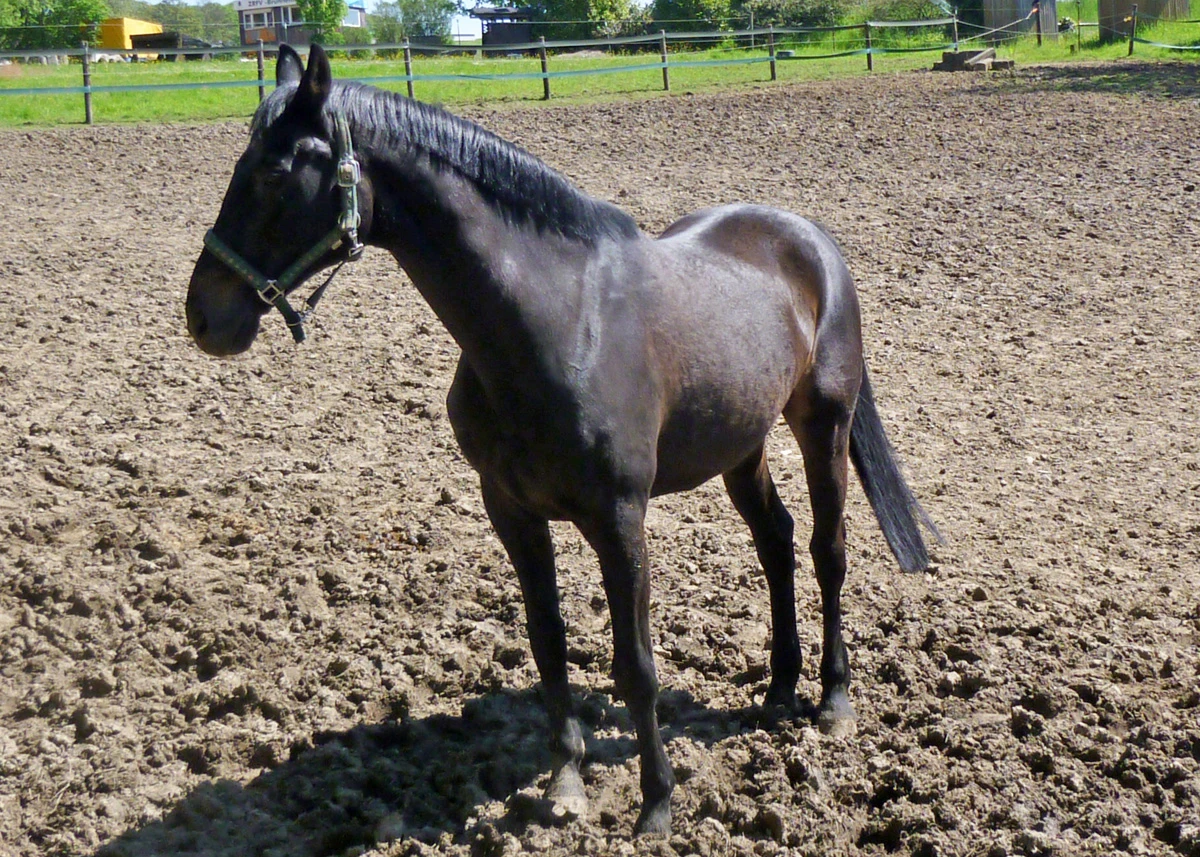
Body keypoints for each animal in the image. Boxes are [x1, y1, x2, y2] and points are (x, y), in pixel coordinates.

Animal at [185, 43, 940, 836]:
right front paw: (567, 782)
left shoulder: (618, 517)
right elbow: (548, 644)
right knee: (777, 542)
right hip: (742, 444)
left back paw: (832, 700)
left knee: (828, 549)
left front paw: (657, 803)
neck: (555, 322)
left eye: (274, 172)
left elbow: (635, 665)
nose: (204, 316)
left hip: (823, 423)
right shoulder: (512, 511)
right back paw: (779, 689)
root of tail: (810, 240)